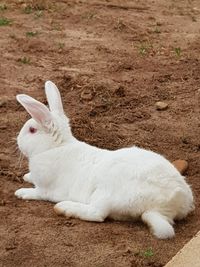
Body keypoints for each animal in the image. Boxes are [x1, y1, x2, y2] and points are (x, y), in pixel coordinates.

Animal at [15, 80, 194, 240]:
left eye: (32, 130)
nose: (17, 141)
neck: (54, 147)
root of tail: (170, 205)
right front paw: (26, 176)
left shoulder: (45, 188)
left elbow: (37, 193)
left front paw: (21, 192)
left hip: (106, 194)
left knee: (97, 214)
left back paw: (64, 207)